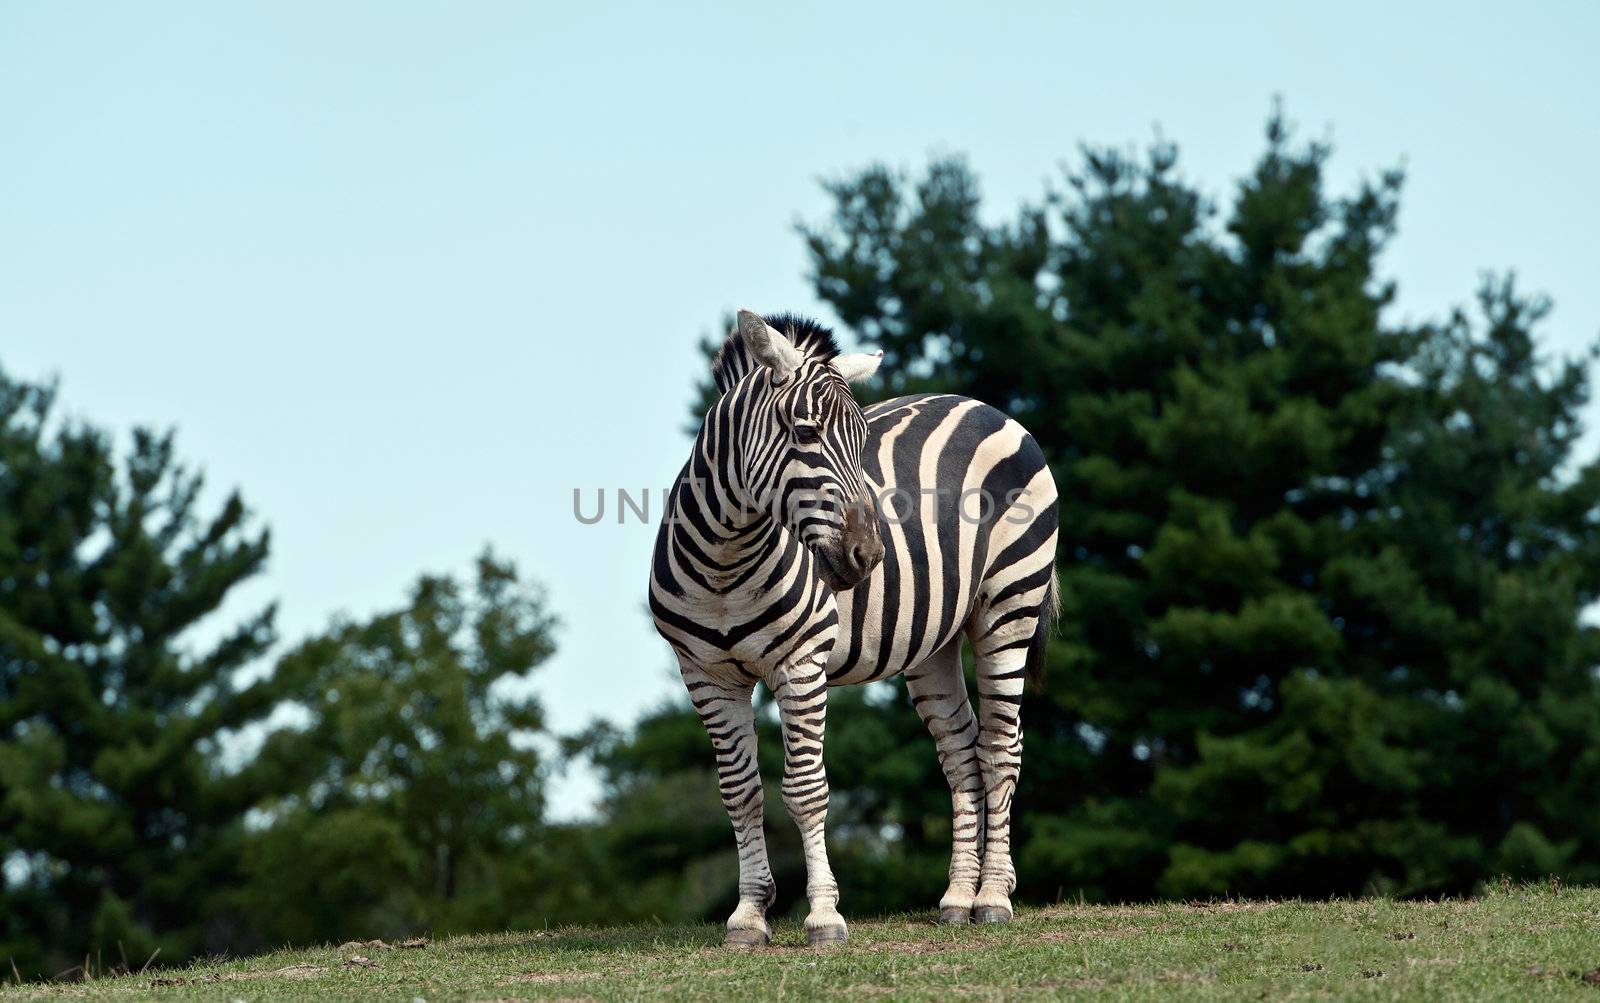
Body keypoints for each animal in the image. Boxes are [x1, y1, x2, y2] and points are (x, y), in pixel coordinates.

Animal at [643, 311, 1056, 947]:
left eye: (864, 443)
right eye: (804, 432)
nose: (869, 556)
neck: (725, 562)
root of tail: (983, 405)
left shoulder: (799, 664)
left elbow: (805, 789)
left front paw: (822, 916)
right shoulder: (706, 674)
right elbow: (739, 792)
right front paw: (748, 915)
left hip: (1009, 605)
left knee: (999, 749)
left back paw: (993, 896)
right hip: (933, 642)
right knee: (961, 751)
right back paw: (959, 897)